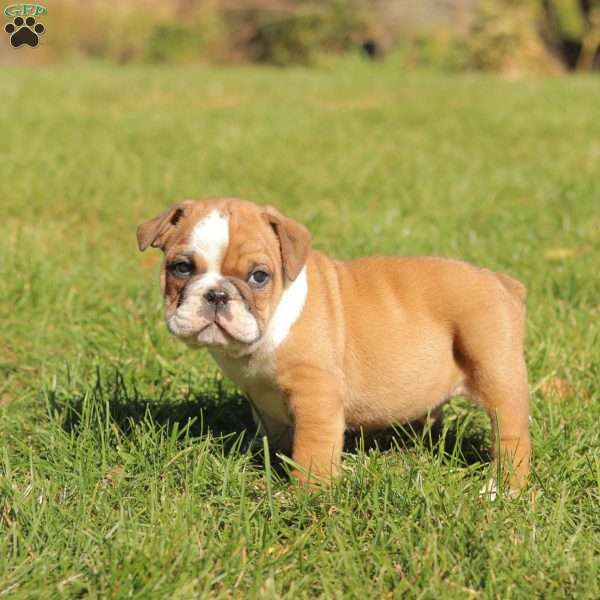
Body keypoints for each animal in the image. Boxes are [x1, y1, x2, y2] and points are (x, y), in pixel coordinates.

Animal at [137, 199, 528, 490]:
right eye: (182, 268)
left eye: (259, 276)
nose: (217, 294)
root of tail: (502, 282)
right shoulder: (263, 400)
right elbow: (273, 434)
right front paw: (262, 459)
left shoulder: (316, 396)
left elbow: (312, 449)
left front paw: (304, 493)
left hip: (496, 375)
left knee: (512, 436)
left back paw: (503, 489)